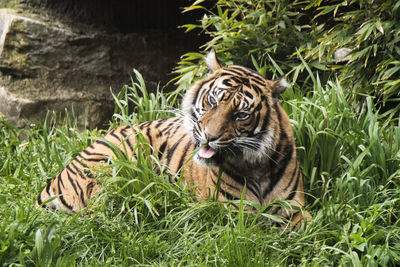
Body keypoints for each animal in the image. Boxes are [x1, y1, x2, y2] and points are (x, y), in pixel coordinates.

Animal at [36, 49, 310, 228]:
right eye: (213, 101)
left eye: (241, 115)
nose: (209, 137)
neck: (256, 166)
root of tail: (61, 174)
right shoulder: (228, 211)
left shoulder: (296, 209)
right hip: (111, 168)